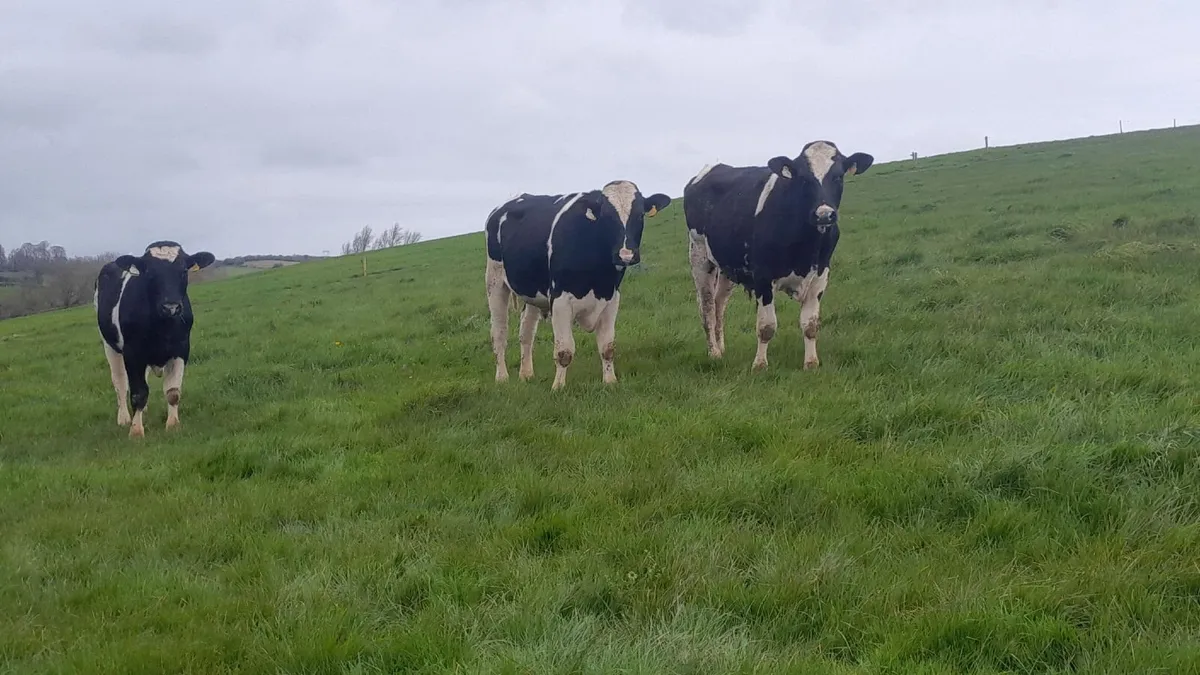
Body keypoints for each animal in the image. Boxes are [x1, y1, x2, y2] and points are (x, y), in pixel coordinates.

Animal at [93, 241, 216, 438]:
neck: (162, 328)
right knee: (120, 382)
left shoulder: (181, 349)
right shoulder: (132, 353)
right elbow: (138, 393)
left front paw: (173, 425)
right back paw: (124, 418)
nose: (171, 306)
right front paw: (136, 431)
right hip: (109, 345)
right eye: (149, 272)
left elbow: (173, 392)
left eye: (183, 270)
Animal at [484, 181, 671, 390]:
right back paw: (502, 377)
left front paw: (610, 381)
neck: (598, 278)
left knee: (526, 331)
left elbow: (607, 347)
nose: (626, 255)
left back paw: (526, 374)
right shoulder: (559, 301)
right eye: (607, 217)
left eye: (640, 215)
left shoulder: (611, 298)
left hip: (532, 291)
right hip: (494, 281)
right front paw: (558, 387)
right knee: (499, 333)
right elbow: (564, 351)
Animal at [682, 140, 873, 371]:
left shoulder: (820, 275)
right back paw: (714, 353)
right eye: (804, 179)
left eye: (838, 176)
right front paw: (760, 365)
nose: (824, 214)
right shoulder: (763, 277)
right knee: (707, 306)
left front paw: (811, 363)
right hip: (699, 255)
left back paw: (722, 347)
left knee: (720, 304)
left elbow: (810, 324)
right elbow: (766, 326)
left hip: (728, 266)